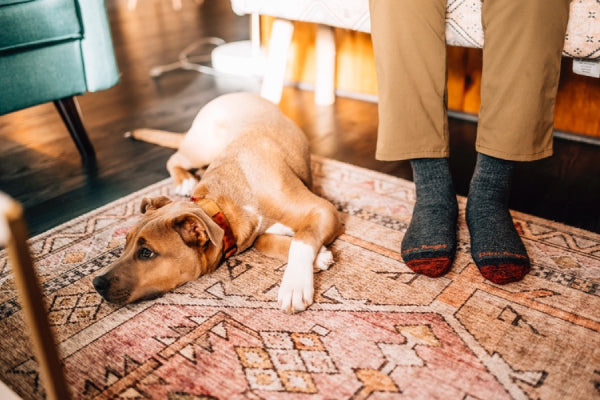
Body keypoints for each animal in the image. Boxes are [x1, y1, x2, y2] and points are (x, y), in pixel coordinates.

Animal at [91, 93, 340, 312]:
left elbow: (301, 240)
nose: (97, 283)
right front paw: (319, 257)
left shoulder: (324, 209)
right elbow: (269, 242)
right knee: (175, 159)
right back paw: (185, 179)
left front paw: (295, 285)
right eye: (125, 243)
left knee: (174, 157)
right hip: (203, 148)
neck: (225, 205)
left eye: (146, 252)